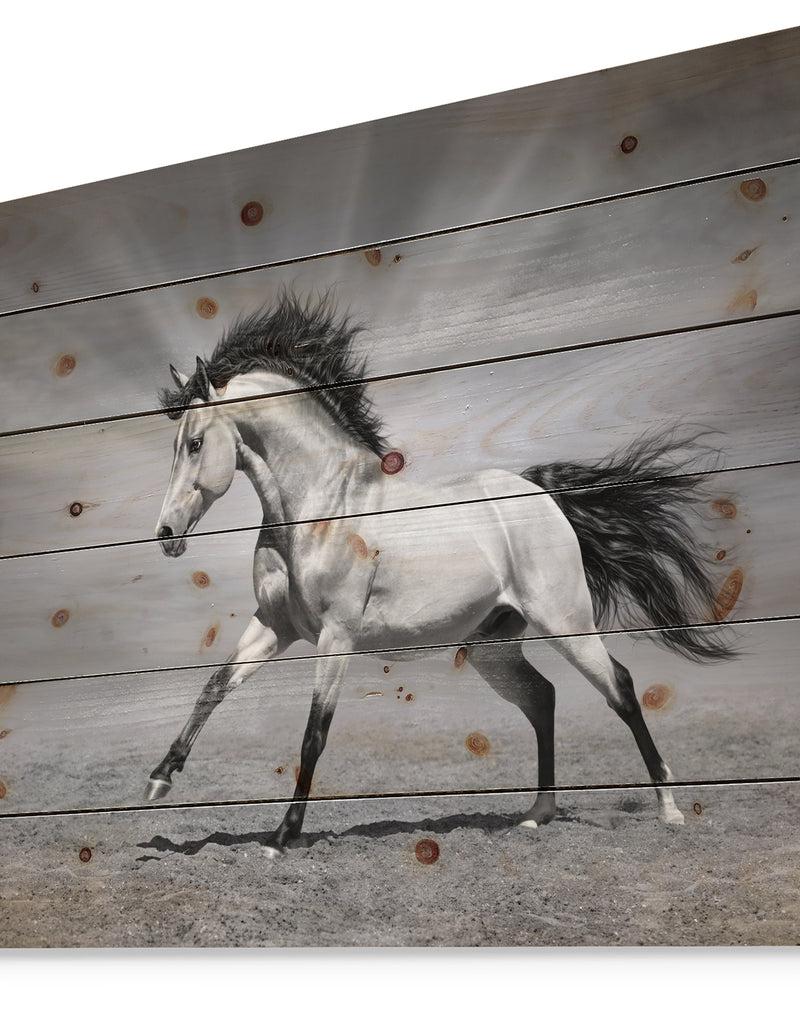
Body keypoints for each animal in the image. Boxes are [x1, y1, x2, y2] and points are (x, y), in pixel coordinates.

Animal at [148, 291, 732, 854]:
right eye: (175, 445)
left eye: (194, 444)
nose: (166, 533)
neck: (321, 508)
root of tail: (543, 496)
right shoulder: (276, 626)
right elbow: (214, 686)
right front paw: (159, 779)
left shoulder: (336, 637)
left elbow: (314, 733)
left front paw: (283, 836)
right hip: (493, 647)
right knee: (543, 698)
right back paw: (535, 816)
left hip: (566, 622)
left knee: (621, 688)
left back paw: (669, 810)